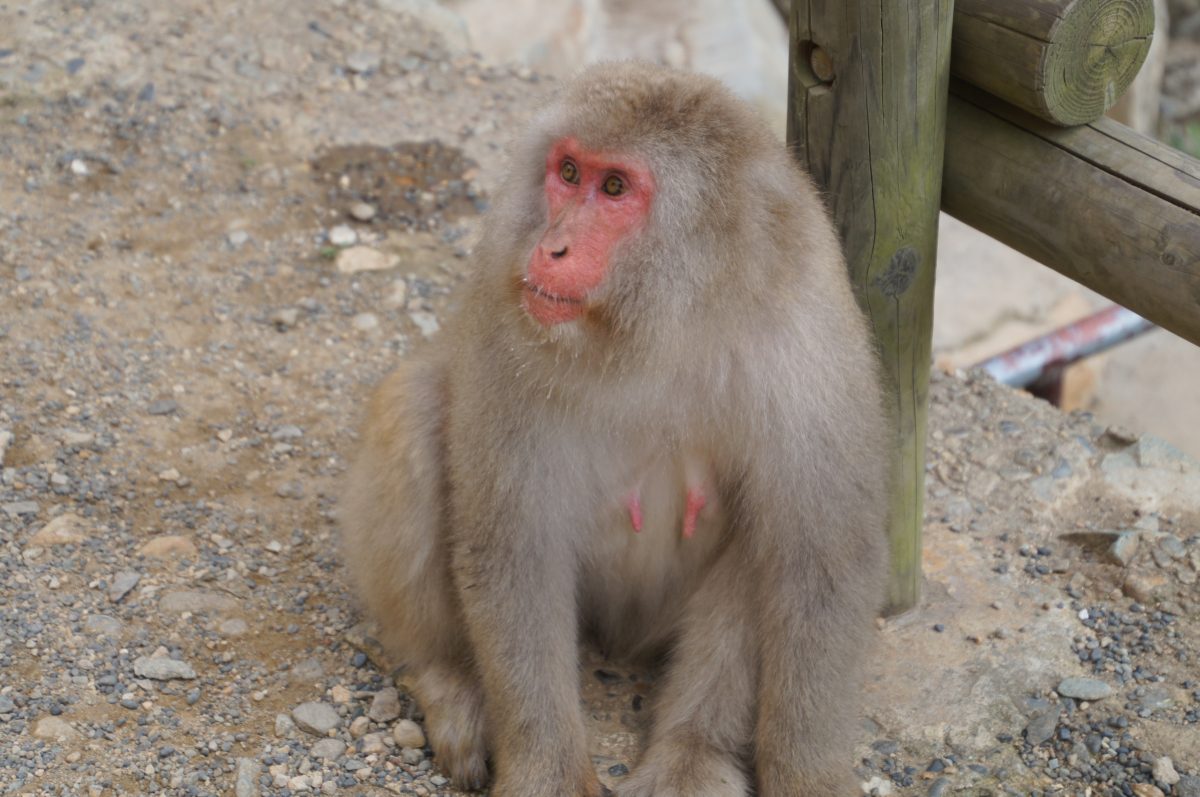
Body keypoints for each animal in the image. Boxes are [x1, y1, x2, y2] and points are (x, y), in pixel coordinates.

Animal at [341, 61, 889, 797]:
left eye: (615, 188)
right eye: (569, 172)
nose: (551, 247)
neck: (669, 318)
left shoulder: (808, 335)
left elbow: (823, 558)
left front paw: (808, 771)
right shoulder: (509, 308)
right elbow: (513, 541)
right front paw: (545, 771)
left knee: (766, 541)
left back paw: (692, 750)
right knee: (415, 406)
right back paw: (449, 678)